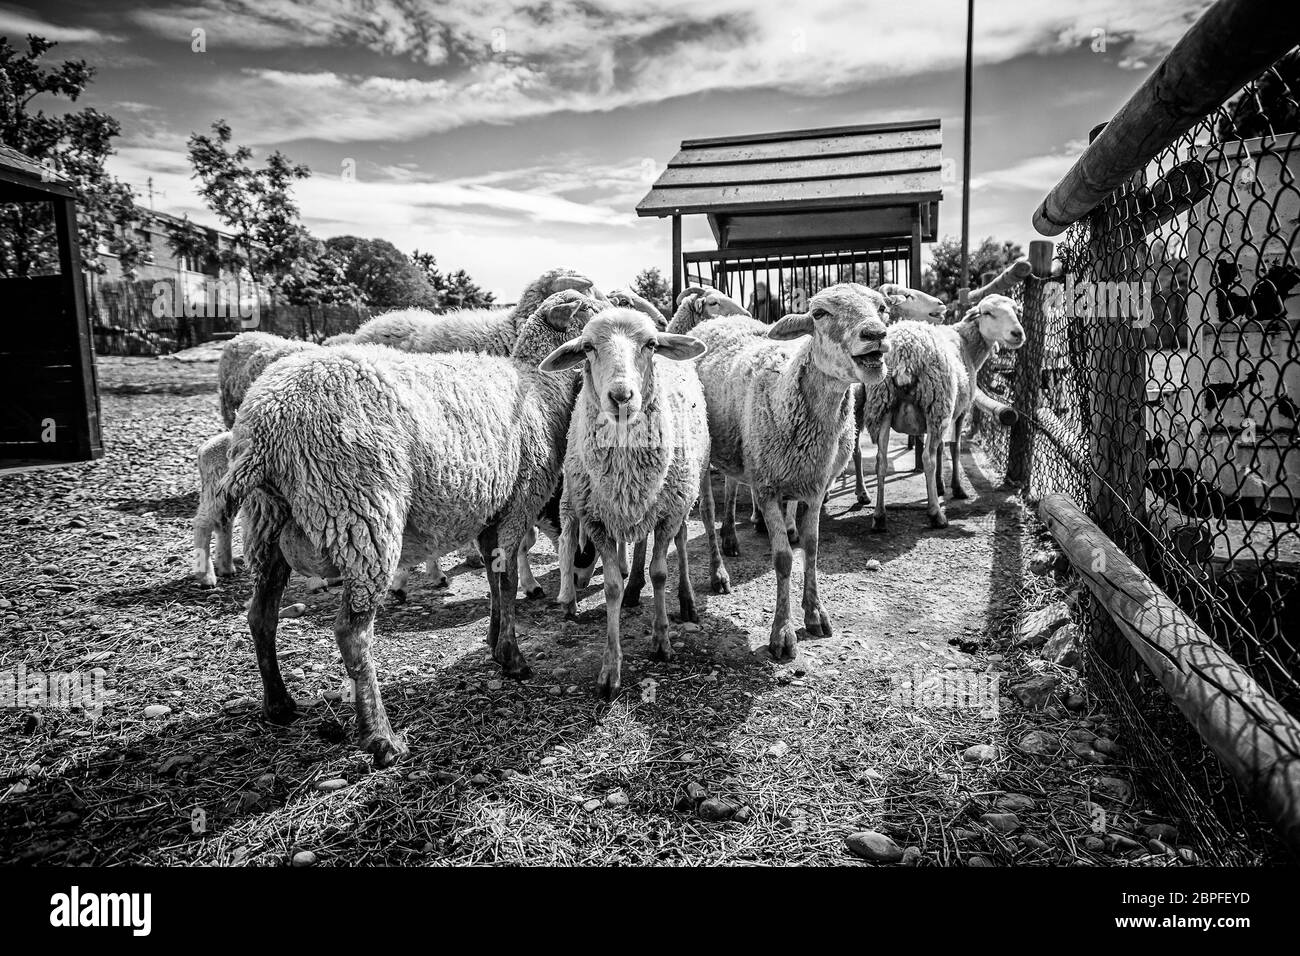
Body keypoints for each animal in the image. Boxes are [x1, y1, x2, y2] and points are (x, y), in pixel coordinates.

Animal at [209, 289, 599, 766]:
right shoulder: (518, 503)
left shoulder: (491, 509)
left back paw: (280, 705)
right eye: (595, 312)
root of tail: (265, 426)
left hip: (266, 525)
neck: (539, 387)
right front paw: (512, 658)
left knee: (261, 616)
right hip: (361, 515)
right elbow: (506, 582)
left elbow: (493, 581)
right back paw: (381, 739)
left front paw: (493, 639)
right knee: (352, 633)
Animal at [539, 310, 709, 696]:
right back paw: (631, 590)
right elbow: (611, 587)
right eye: (588, 347)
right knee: (636, 541)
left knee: (680, 544)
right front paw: (610, 668)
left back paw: (687, 600)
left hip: (684, 495)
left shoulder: (669, 513)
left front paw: (661, 641)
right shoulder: (596, 519)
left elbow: (660, 573)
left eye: (651, 345)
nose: (620, 396)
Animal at [691, 283, 892, 660]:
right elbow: (784, 559)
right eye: (819, 313)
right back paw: (718, 572)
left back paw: (730, 537)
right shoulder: (768, 488)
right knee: (708, 511)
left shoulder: (815, 486)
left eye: (883, 307)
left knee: (732, 486)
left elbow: (811, 548)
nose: (876, 334)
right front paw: (782, 632)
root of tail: (716, 322)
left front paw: (815, 613)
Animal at [855, 294, 1024, 530]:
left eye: (1016, 311)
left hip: (883, 405)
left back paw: (879, 516)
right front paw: (956, 488)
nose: (1018, 334)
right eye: (988, 313)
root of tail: (905, 351)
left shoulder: (940, 413)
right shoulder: (959, 410)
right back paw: (936, 514)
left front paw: (938, 485)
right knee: (927, 458)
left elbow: (941, 448)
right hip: (936, 403)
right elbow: (954, 448)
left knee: (881, 461)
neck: (967, 346)